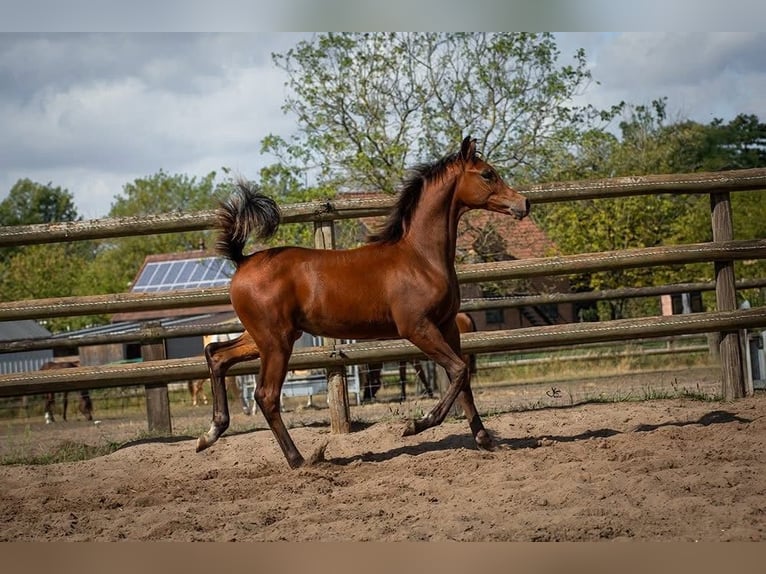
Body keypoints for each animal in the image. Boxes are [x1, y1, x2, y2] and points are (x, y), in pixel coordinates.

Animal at [197, 136, 529, 469]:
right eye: (487, 174)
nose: (524, 204)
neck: (421, 258)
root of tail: (243, 260)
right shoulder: (417, 328)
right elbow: (460, 371)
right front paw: (417, 424)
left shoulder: (447, 326)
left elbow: (462, 380)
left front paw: (486, 440)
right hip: (276, 341)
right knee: (265, 395)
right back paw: (298, 459)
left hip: (263, 337)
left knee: (217, 354)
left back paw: (209, 434)